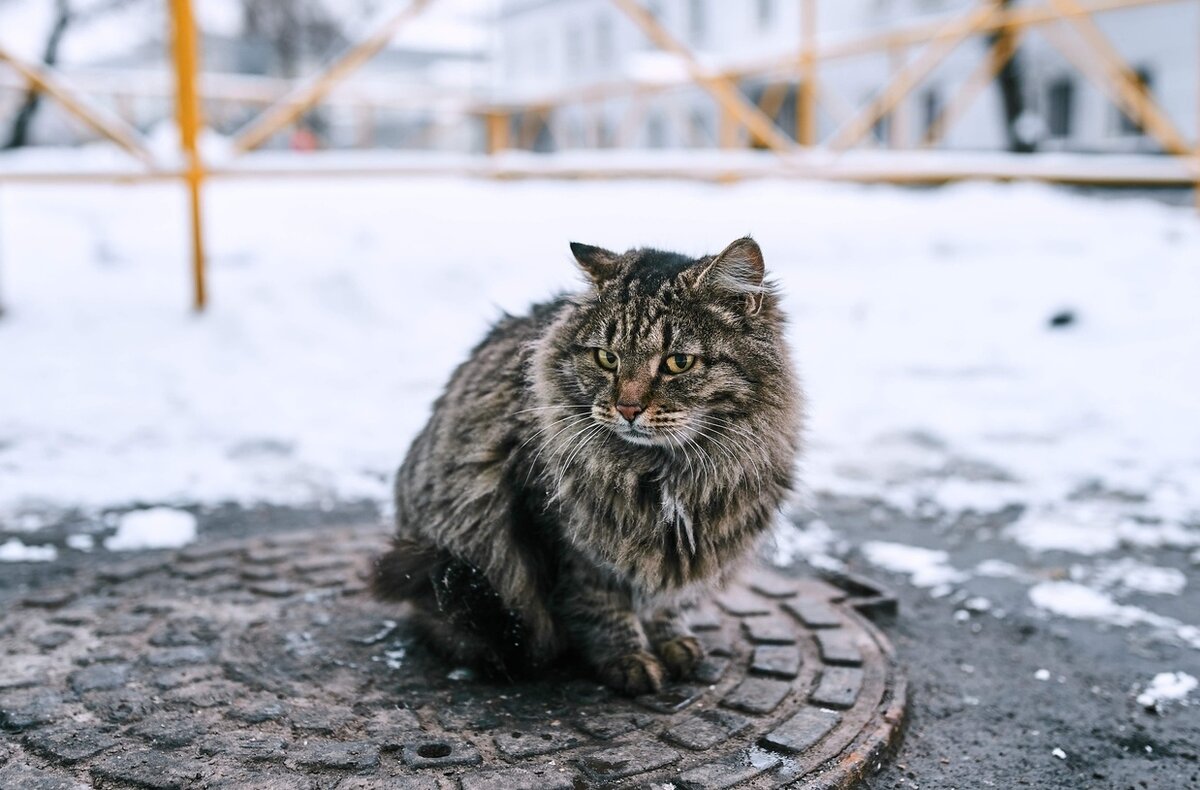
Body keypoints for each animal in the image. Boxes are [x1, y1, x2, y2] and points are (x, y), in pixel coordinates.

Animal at [372, 234, 806, 691]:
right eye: (606, 358)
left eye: (678, 362)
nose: (628, 408)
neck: (663, 476)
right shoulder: (568, 543)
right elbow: (602, 608)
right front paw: (629, 661)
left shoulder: (676, 557)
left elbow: (664, 606)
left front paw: (673, 644)